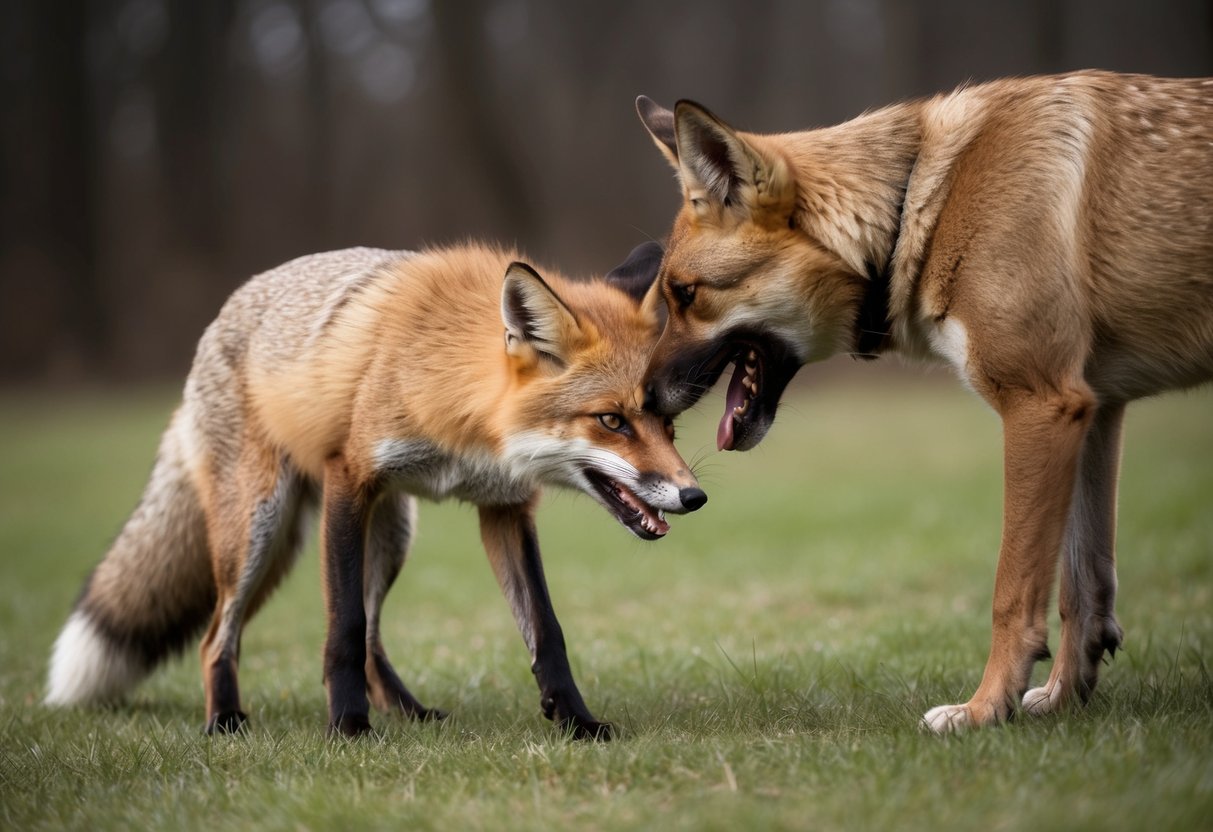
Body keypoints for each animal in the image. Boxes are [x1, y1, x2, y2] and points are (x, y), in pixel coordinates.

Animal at [44, 241, 706, 740]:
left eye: (668, 423)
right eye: (612, 420)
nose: (693, 497)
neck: (466, 419)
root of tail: (223, 314)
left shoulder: (504, 509)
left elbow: (546, 631)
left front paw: (576, 722)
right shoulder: (350, 479)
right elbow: (341, 629)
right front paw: (347, 729)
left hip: (391, 534)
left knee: (371, 637)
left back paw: (410, 713)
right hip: (260, 528)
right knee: (218, 636)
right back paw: (226, 720)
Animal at [635, 71, 1213, 732]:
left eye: (686, 295)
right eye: (669, 296)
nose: (642, 401)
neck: (920, 204)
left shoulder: (1039, 405)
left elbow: (1013, 593)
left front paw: (986, 710)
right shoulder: (1092, 409)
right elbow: (1081, 591)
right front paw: (1063, 699)